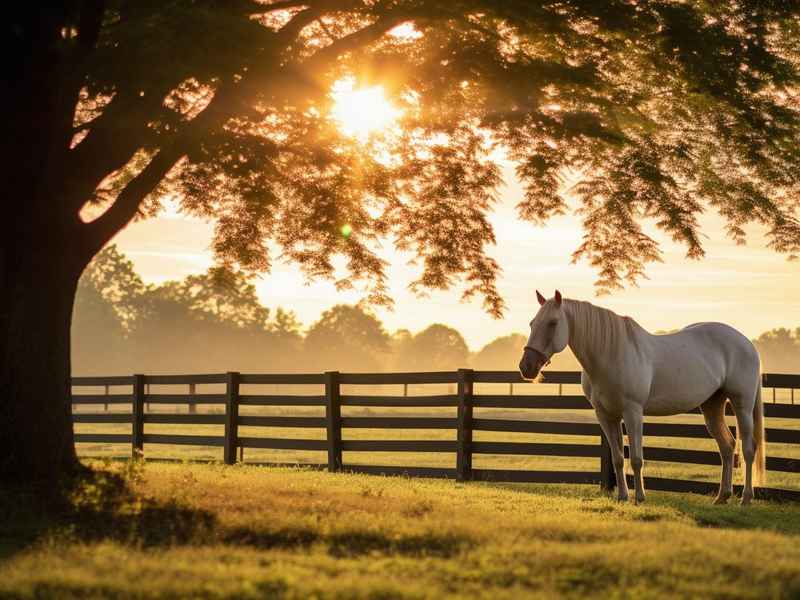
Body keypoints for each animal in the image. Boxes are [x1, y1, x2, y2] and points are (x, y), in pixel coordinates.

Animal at [518, 290, 766, 505]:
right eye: (532, 323)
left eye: (552, 323)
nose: (526, 367)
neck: (611, 354)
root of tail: (747, 343)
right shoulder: (606, 416)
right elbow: (618, 458)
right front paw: (622, 497)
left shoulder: (633, 412)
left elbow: (636, 459)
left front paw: (639, 498)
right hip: (712, 405)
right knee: (727, 446)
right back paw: (722, 497)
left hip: (742, 405)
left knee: (747, 449)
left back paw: (746, 498)